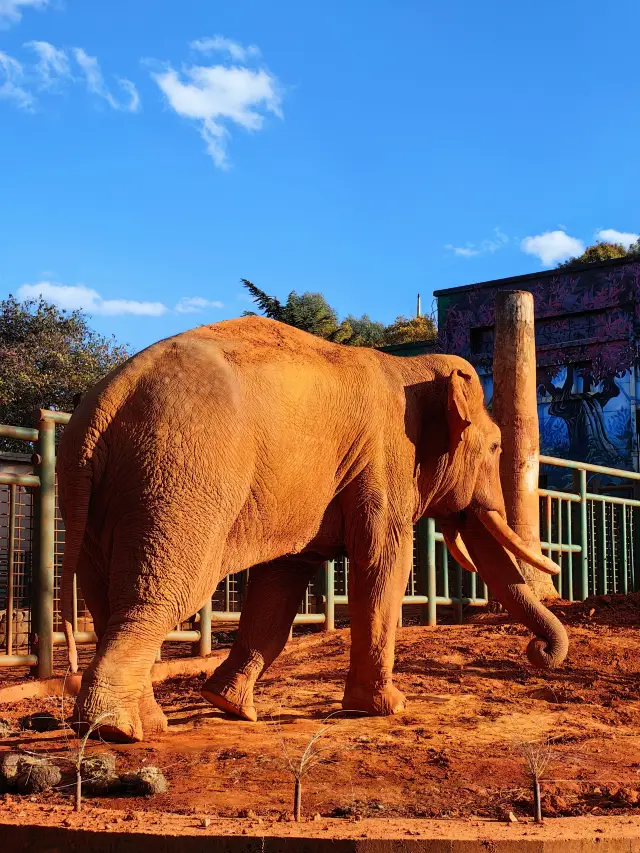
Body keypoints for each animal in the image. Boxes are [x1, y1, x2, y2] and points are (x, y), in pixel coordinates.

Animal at [57, 312, 568, 740]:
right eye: (497, 447)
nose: (539, 652)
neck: (413, 367)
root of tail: (103, 404)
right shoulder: (384, 463)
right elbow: (384, 563)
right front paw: (386, 708)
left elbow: (280, 583)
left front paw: (232, 707)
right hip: (178, 481)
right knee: (163, 596)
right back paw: (117, 730)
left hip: (109, 494)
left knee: (109, 603)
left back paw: (147, 722)